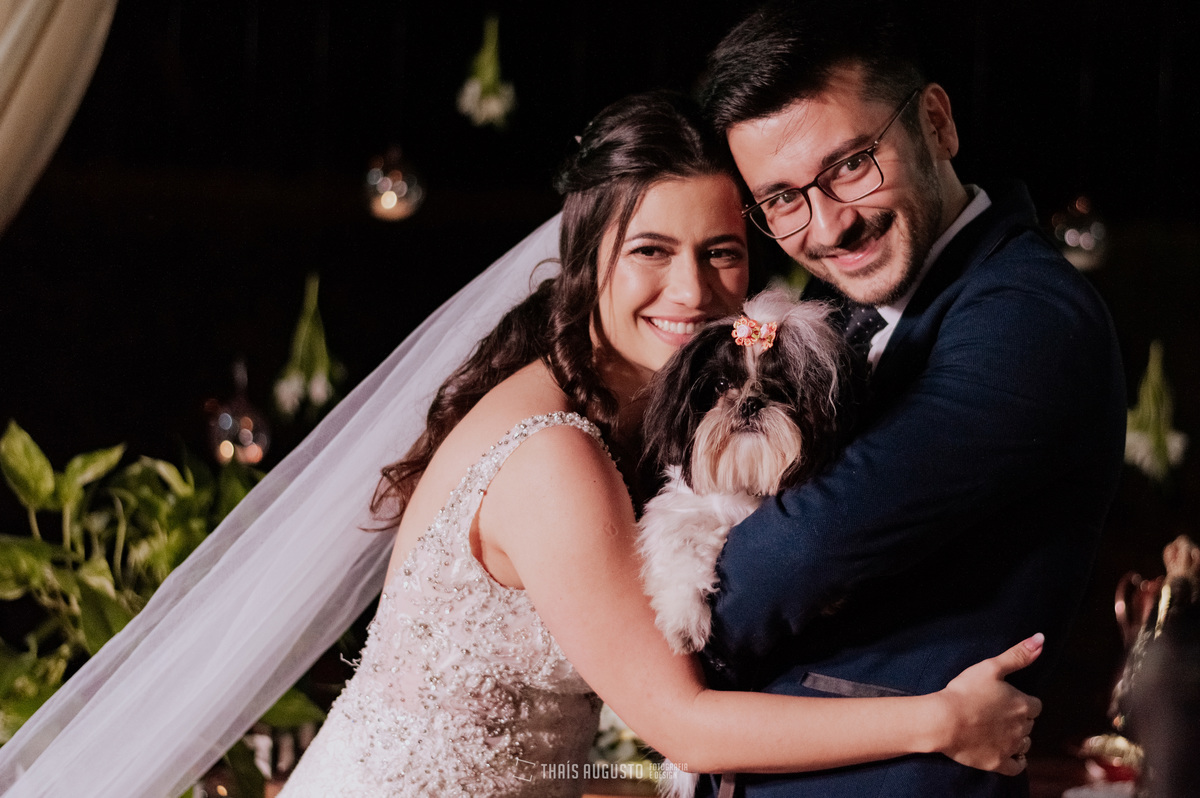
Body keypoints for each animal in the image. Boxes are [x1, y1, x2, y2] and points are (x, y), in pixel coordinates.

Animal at [638, 289, 846, 657]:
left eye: (782, 388)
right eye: (721, 385)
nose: (749, 402)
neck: (745, 478)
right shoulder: (677, 512)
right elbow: (679, 553)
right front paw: (684, 620)